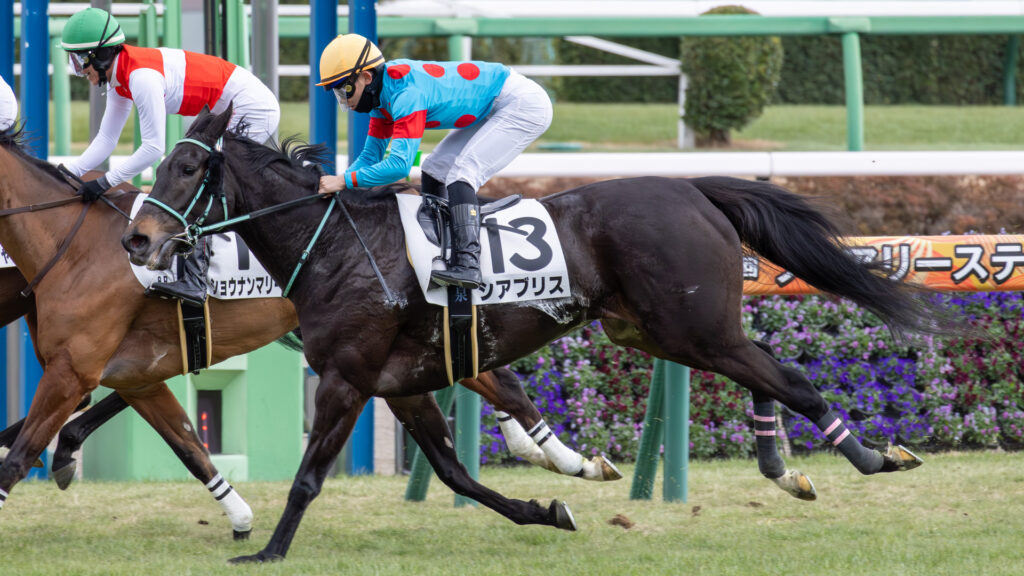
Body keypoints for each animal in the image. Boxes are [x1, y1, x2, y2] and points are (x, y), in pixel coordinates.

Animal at [0, 128, 625, 537]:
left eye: (188, 172)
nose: (139, 242)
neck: (73, 246)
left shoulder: (79, 367)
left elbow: (25, 447)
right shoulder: (130, 372)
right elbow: (187, 444)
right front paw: (241, 518)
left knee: (499, 382)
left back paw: (563, 458)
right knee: (490, 376)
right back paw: (559, 458)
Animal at [124, 106, 941, 563]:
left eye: (188, 166)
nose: (137, 239)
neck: (335, 247)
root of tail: (691, 186)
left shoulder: (348, 379)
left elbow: (306, 478)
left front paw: (268, 550)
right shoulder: (402, 385)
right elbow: (458, 475)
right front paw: (548, 510)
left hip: (691, 327)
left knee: (789, 376)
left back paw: (870, 456)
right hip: (655, 332)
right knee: (764, 365)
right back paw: (783, 465)